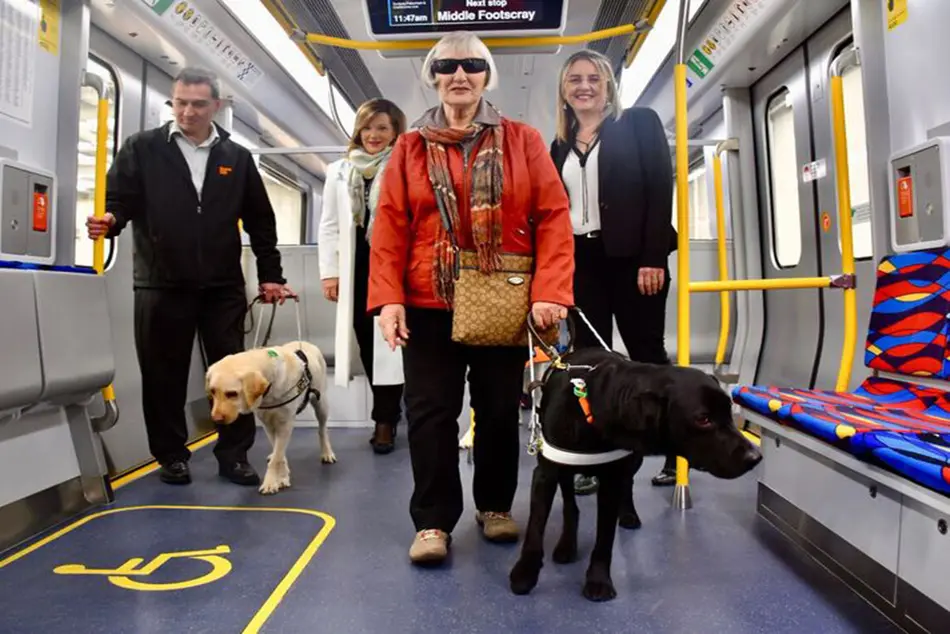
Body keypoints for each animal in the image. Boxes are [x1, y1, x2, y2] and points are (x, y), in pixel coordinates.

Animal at [205, 340, 334, 494]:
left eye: (232, 393)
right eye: (212, 391)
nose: (216, 419)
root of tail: (306, 342)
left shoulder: (285, 424)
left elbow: (277, 457)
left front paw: (271, 482)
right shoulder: (268, 425)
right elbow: (279, 455)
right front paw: (282, 477)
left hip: (321, 404)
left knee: (322, 430)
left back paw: (327, 453)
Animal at [510, 340, 764, 596]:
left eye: (729, 413)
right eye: (703, 419)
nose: (755, 457)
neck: (594, 410)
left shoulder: (611, 481)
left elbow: (605, 537)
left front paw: (599, 580)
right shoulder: (545, 474)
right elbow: (535, 528)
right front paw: (525, 573)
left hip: (632, 460)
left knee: (627, 484)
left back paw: (628, 514)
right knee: (571, 506)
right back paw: (567, 546)